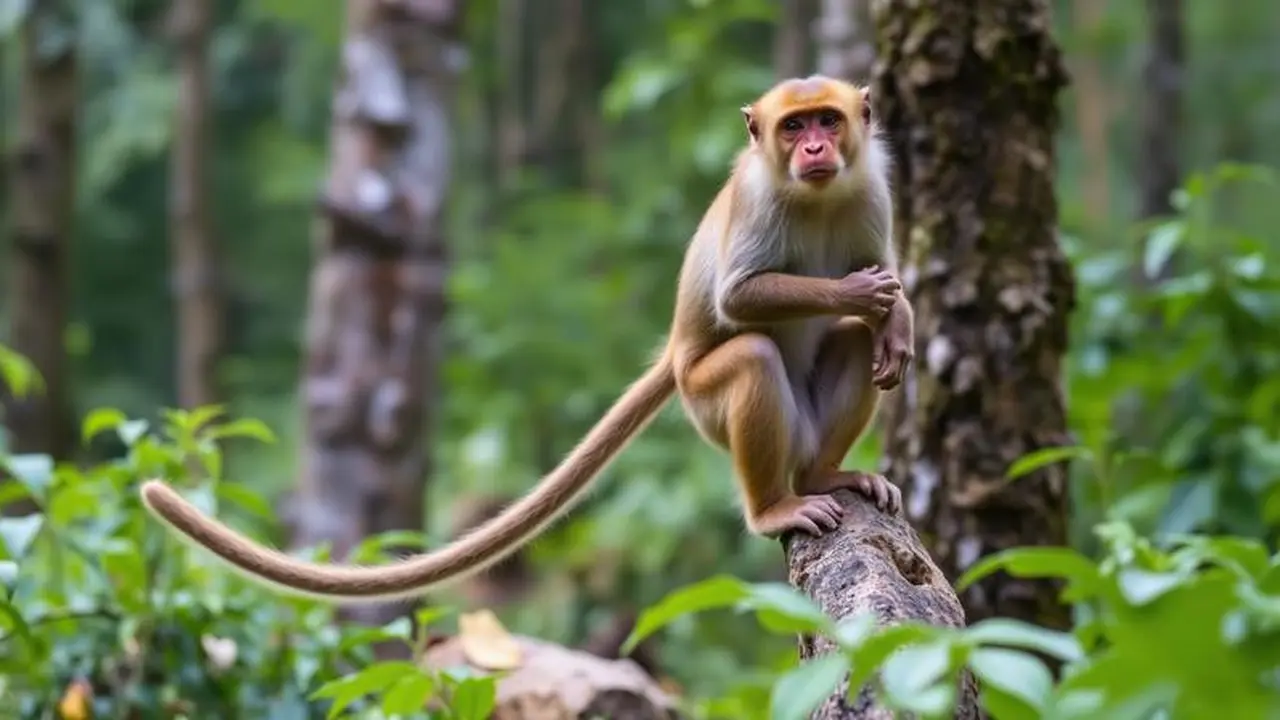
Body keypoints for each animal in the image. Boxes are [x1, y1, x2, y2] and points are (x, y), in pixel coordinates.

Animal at [139, 75, 915, 603]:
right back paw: (774, 507)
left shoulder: (874, 186)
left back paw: (825, 474)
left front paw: (896, 317)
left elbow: (880, 292)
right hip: (704, 403)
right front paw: (859, 295)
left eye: (827, 120)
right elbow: (739, 297)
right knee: (750, 357)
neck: (815, 195)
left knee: (851, 349)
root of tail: (673, 359)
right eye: (792, 128)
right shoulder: (758, 198)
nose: (813, 146)